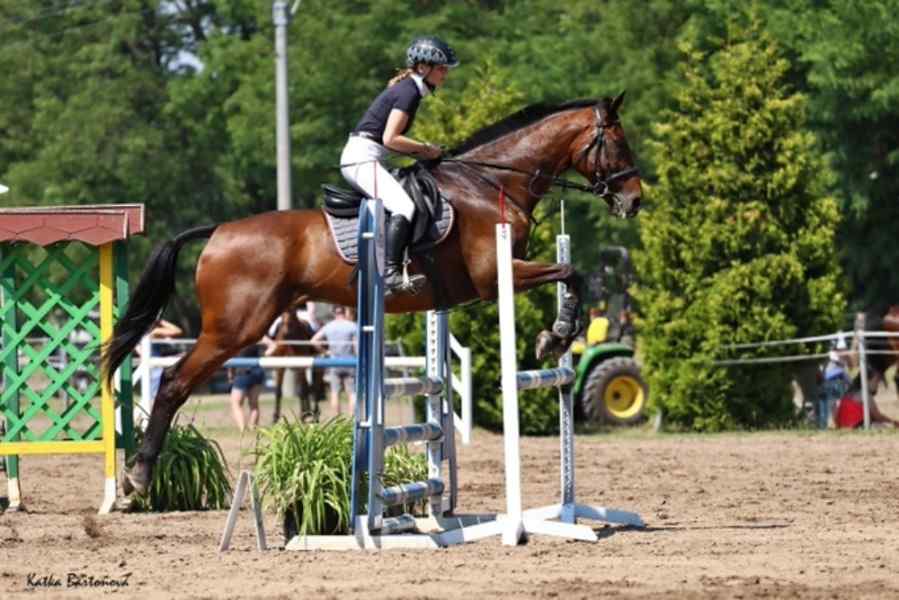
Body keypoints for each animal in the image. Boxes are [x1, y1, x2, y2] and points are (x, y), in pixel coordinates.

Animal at [103, 95, 640, 496]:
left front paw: (556, 335)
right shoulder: (497, 277)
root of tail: (217, 231)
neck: (489, 182)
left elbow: (570, 273)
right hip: (234, 329)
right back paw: (137, 478)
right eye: (618, 142)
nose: (635, 201)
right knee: (173, 382)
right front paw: (557, 336)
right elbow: (573, 272)